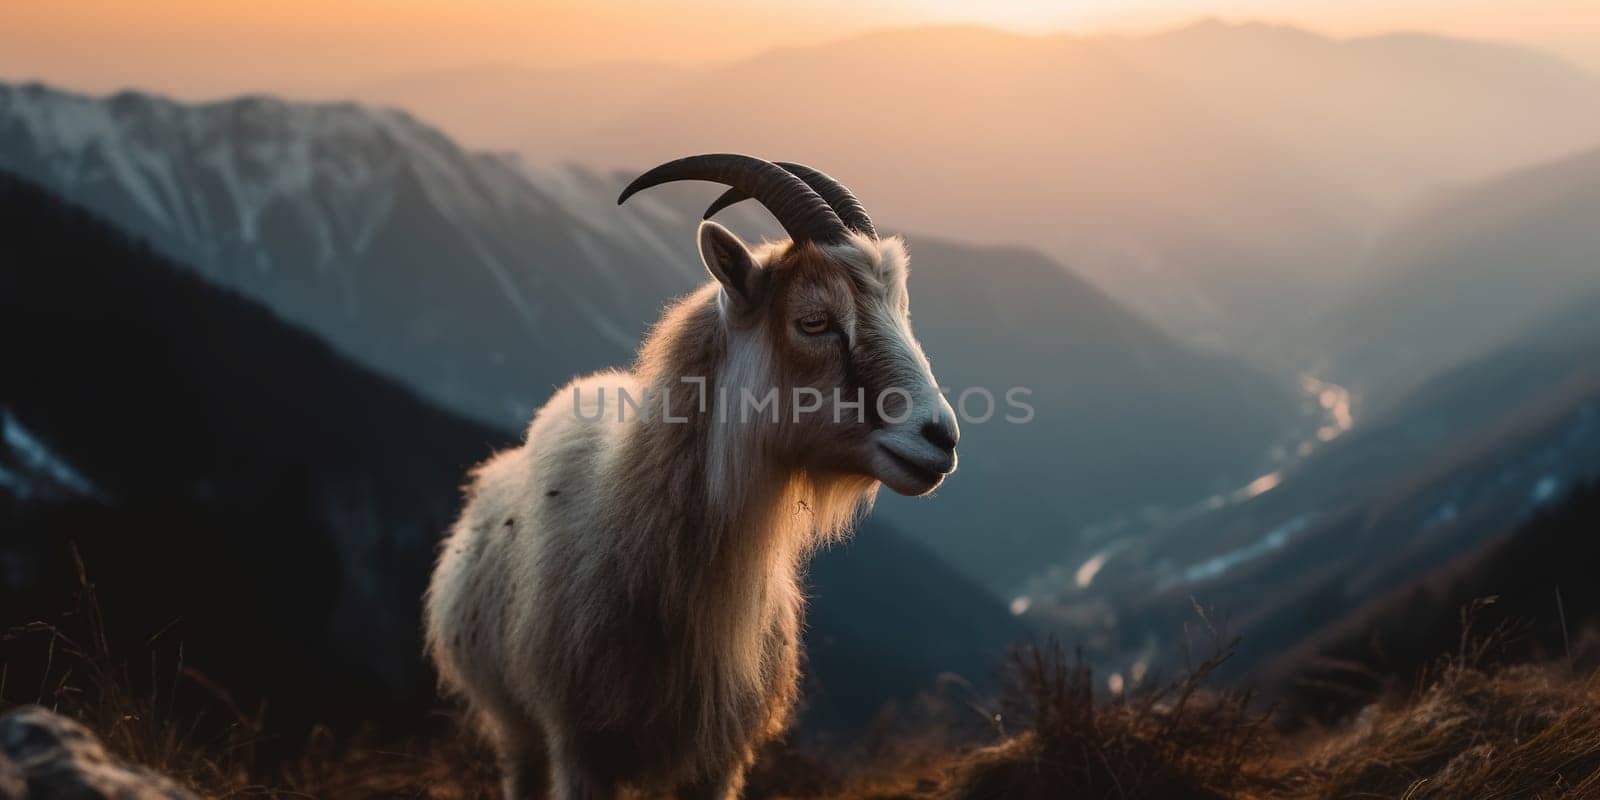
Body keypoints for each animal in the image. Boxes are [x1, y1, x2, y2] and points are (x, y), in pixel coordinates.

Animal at [419, 152, 953, 796]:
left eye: (899, 308)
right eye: (815, 321)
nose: (941, 438)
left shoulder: (718, 758)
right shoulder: (581, 748)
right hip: (516, 729)